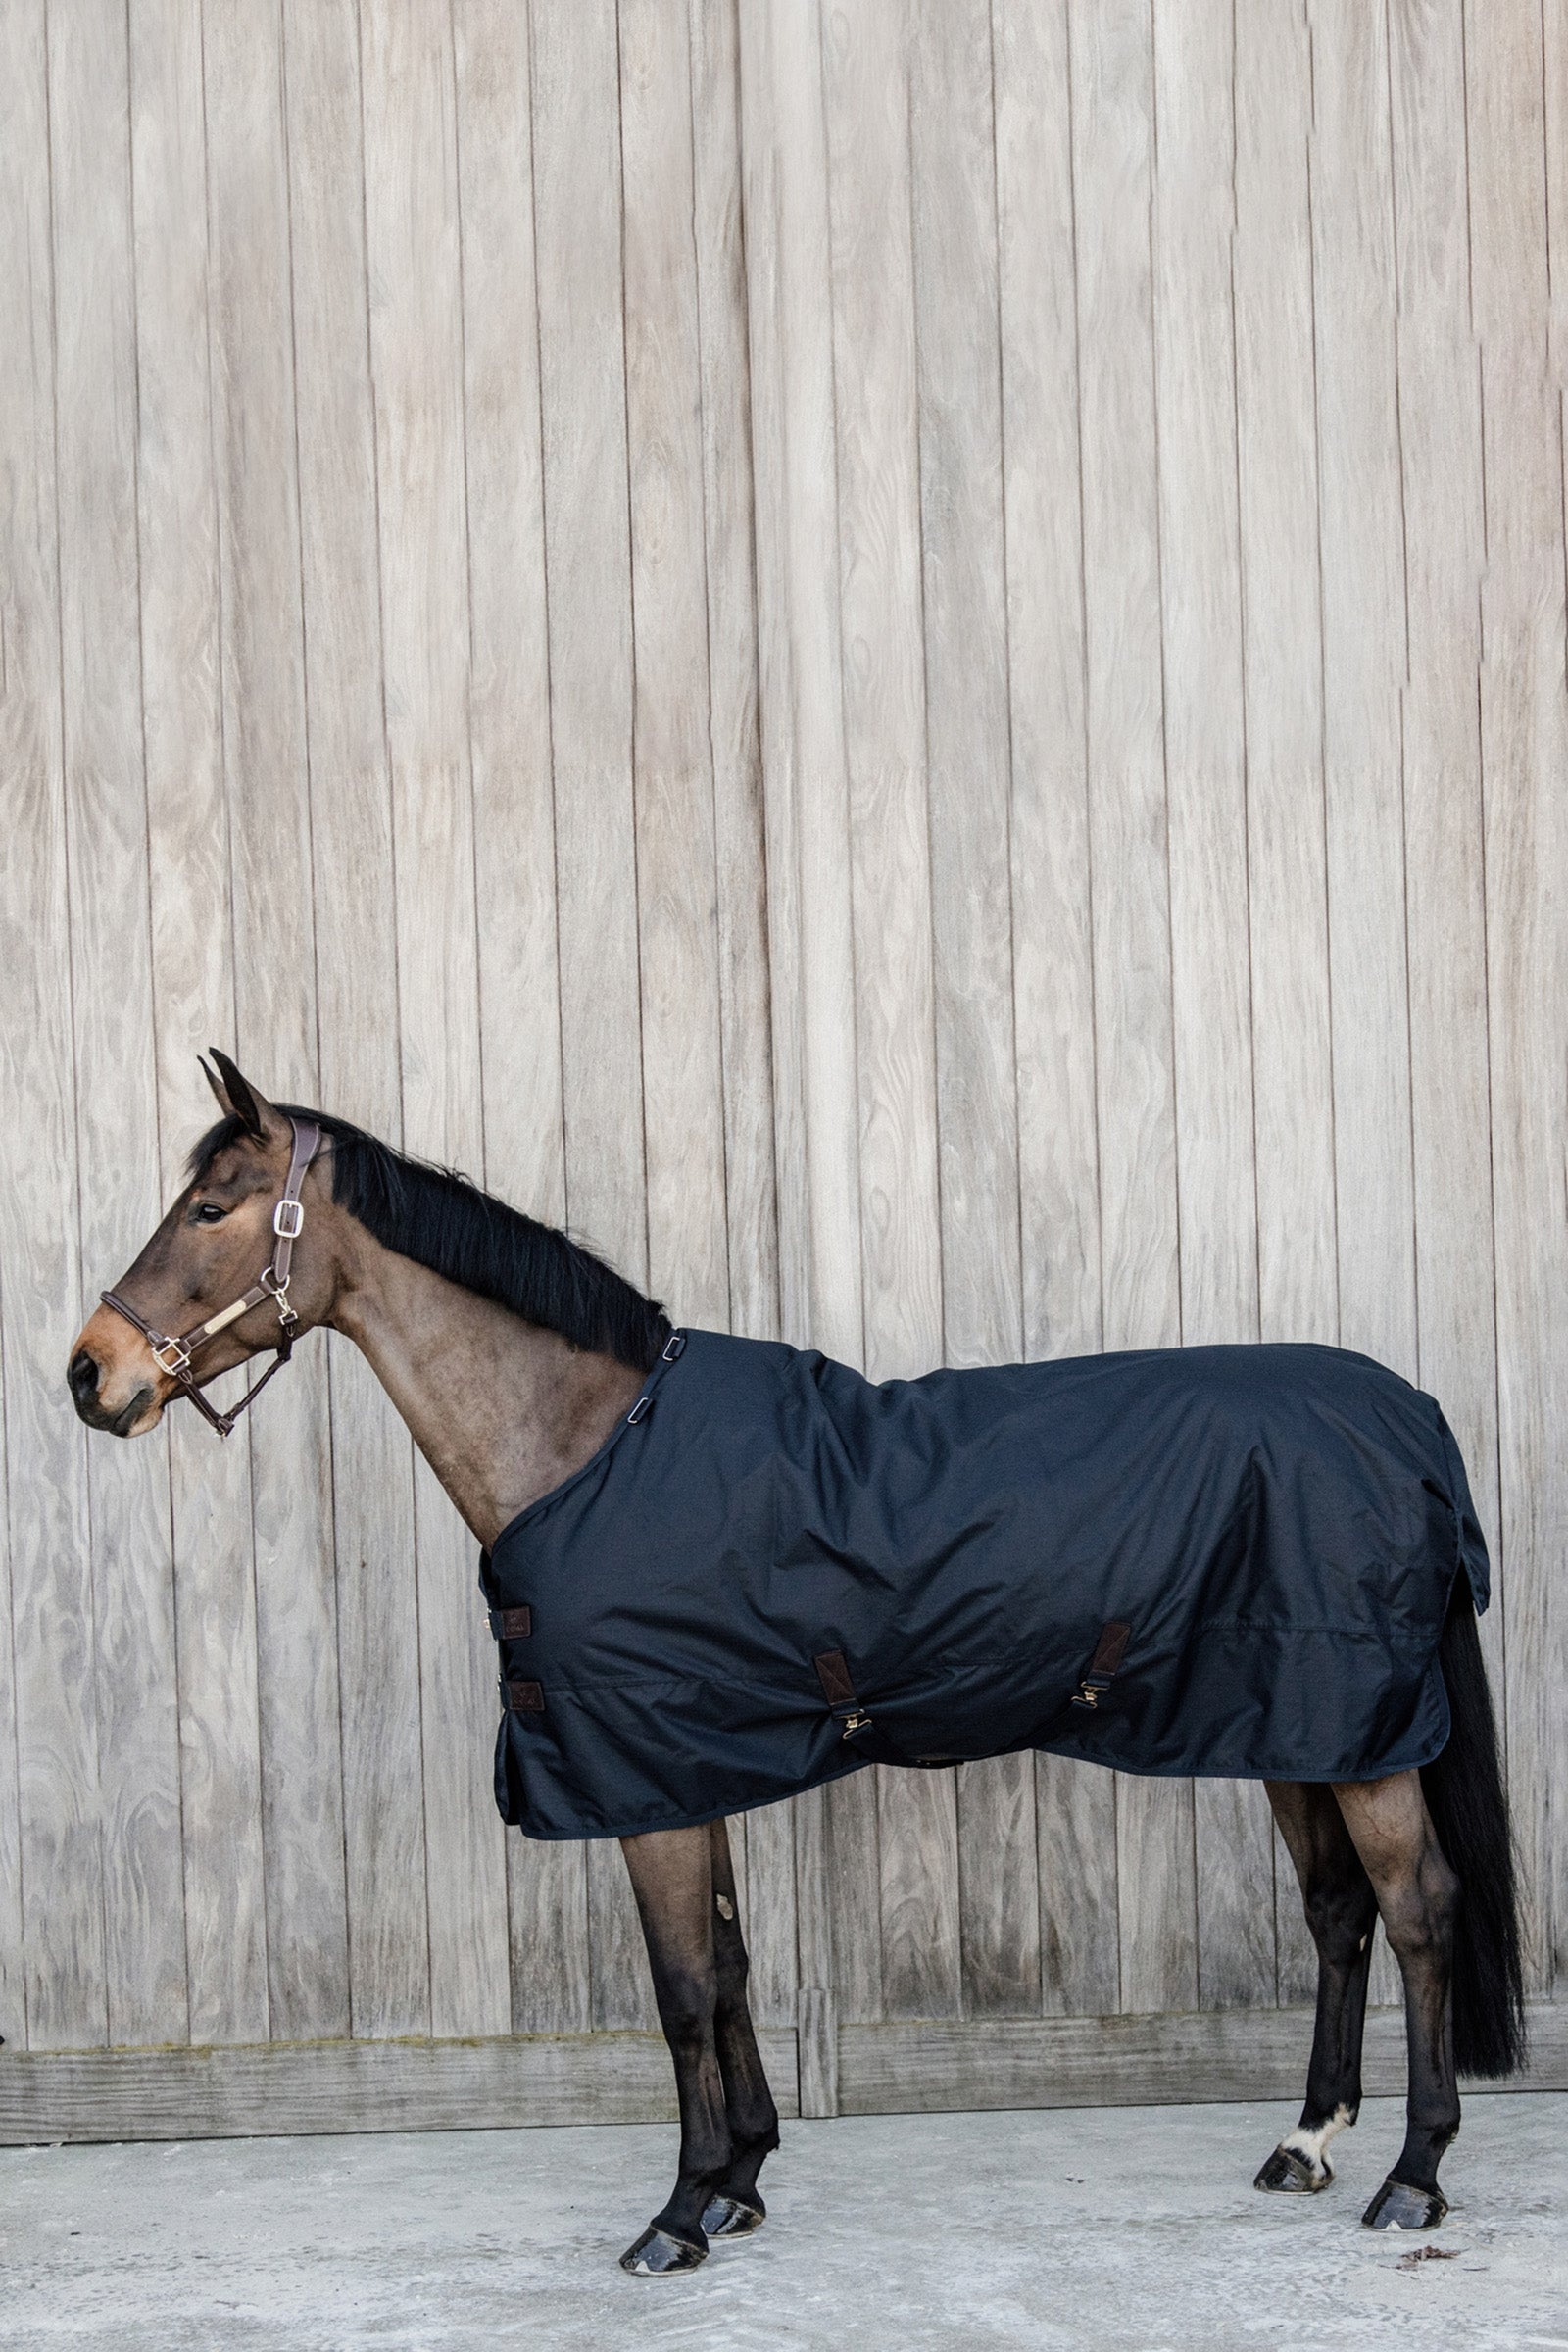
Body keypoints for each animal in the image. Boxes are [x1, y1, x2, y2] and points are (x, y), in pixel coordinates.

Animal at [66, 1052, 1526, 2274]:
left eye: (211, 1207)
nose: (91, 1375)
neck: (591, 1447)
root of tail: (1408, 1416)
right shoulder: (684, 1766)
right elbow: (729, 1965)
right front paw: (742, 2182)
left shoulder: (644, 1780)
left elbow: (679, 1989)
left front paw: (677, 2212)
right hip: (1295, 1727)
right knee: (1337, 1916)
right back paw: (1306, 2143)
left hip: (1359, 1736)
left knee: (1419, 1913)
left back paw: (1411, 2176)